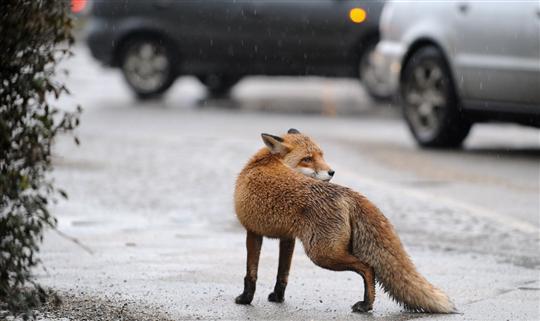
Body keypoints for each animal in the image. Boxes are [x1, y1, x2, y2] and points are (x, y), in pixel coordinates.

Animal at [234, 128, 458, 312]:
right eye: (307, 159)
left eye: (321, 155)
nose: (332, 172)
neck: (264, 162)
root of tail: (348, 192)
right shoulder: (287, 238)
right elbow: (283, 273)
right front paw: (277, 297)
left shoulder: (252, 232)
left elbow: (250, 273)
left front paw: (245, 299)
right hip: (326, 251)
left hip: (322, 254)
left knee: (368, 267)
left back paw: (366, 304)